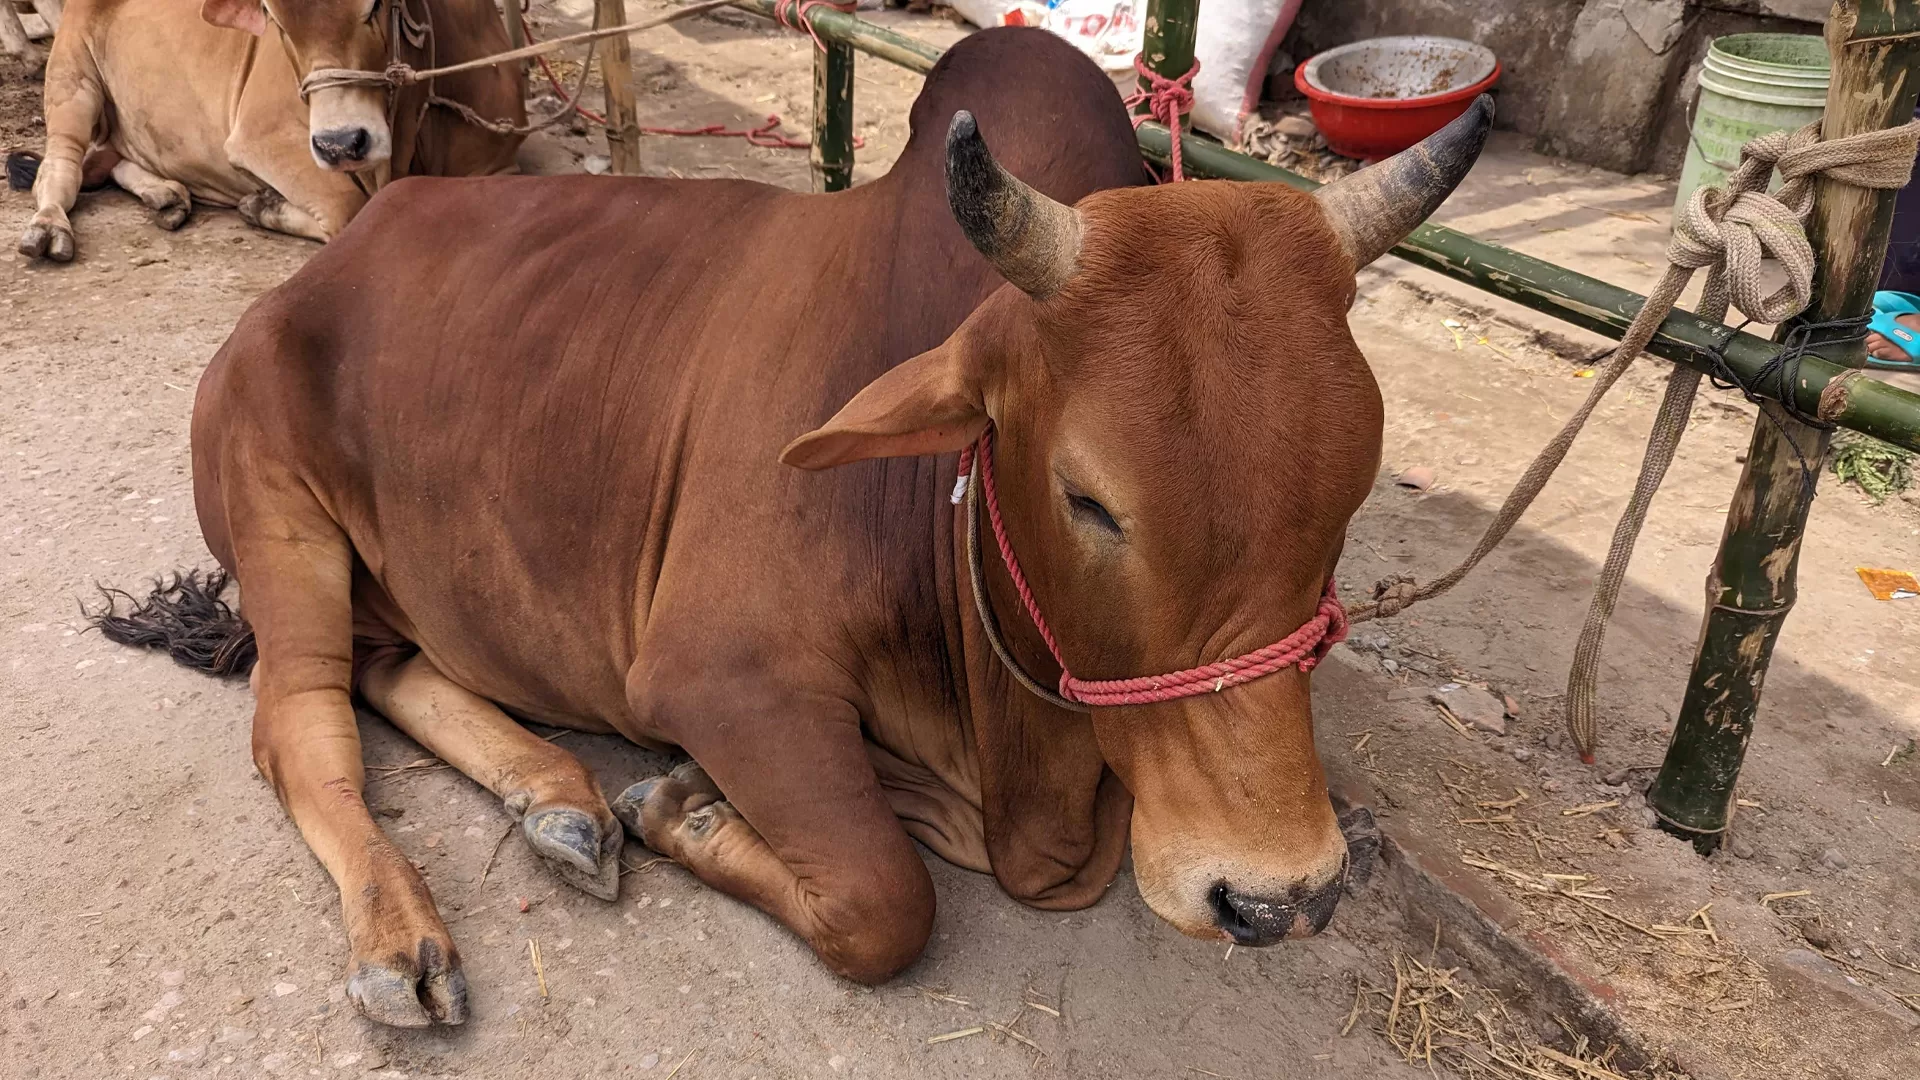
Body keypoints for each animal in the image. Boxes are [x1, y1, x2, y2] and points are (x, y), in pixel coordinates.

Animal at [11, 0, 522, 259]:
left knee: (110, 158)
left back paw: (167, 196)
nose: (341, 144)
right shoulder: (262, 136)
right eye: (273, 18)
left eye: (376, 4)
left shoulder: (501, 165)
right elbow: (350, 207)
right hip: (72, 74)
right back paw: (49, 227)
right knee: (60, 167)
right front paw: (264, 206)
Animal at [97, 27, 1489, 1022]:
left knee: (391, 670)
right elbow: (885, 901)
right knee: (300, 720)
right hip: (277, 512)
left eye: (1350, 493)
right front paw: (695, 811)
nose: (1279, 896)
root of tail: (333, 254)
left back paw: (558, 801)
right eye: (1090, 497)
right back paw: (407, 933)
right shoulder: (716, 675)